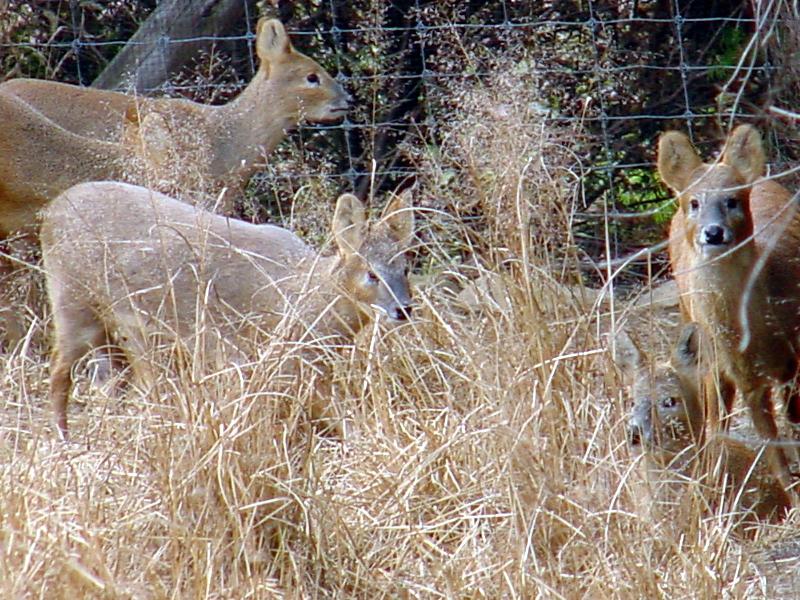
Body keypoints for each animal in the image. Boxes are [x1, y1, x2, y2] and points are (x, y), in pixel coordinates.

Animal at [39, 180, 412, 438]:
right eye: (371, 274)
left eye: (405, 268)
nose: (404, 309)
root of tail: (51, 211)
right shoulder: (260, 358)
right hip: (72, 302)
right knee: (60, 371)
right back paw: (63, 438)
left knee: (109, 384)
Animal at [660, 125, 800, 492]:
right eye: (694, 203)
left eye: (733, 200)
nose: (713, 232)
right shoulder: (745, 374)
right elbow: (777, 457)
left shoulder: (794, 358)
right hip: (700, 336)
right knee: (715, 414)